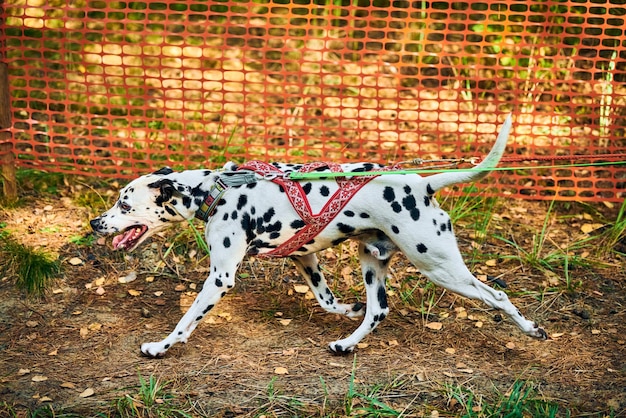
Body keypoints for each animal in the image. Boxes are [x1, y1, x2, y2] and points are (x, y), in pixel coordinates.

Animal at [89, 116, 544, 358]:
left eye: (124, 204)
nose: (95, 223)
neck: (217, 190)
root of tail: (423, 183)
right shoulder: (304, 256)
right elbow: (326, 300)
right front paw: (345, 308)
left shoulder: (220, 278)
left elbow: (186, 321)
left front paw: (161, 346)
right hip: (372, 261)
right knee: (378, 311)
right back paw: (346, 343)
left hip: (439, 266)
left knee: (497, 295)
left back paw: (530, 330)